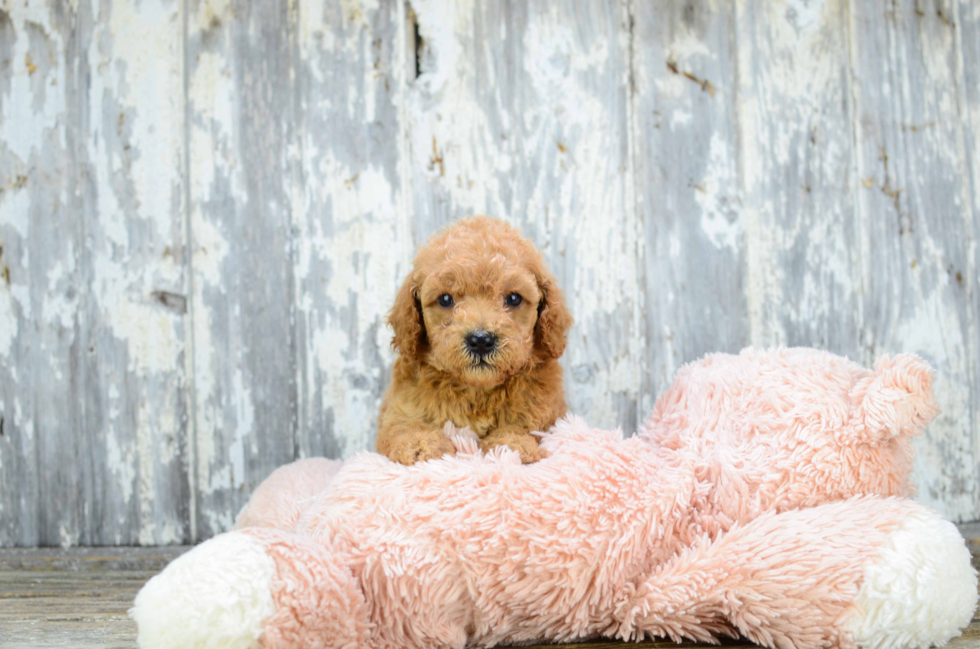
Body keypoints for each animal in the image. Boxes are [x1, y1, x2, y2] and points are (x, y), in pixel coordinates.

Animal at [376, 218, 576, 466]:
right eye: (445, 299)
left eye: (513, 298)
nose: (481, 340)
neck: (477, 391)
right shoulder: (399, 410)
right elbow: (405, 427)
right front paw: (421, 445)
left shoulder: (547, 415)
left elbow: (524, 427)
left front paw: (511, 445)